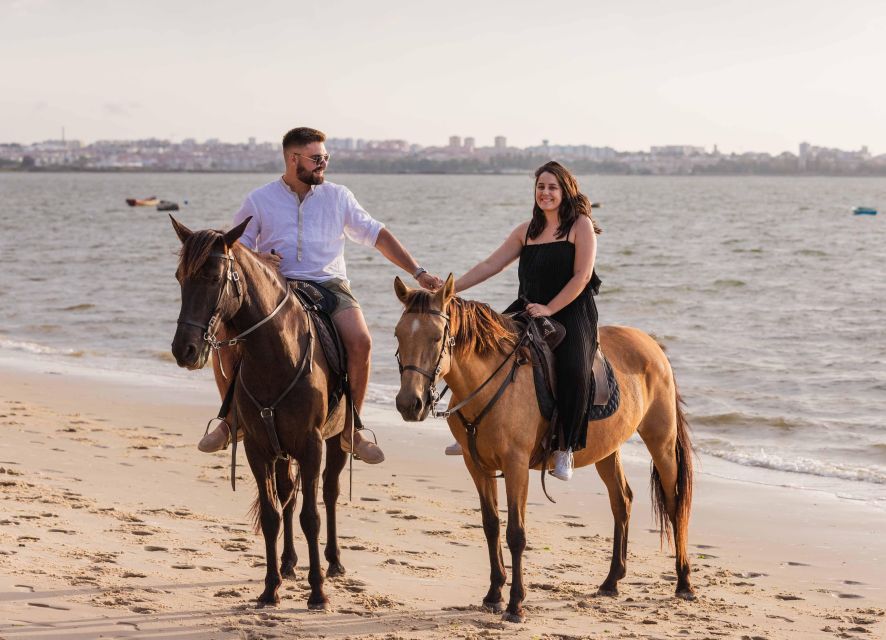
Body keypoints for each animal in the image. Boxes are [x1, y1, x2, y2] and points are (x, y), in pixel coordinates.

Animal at [168, 219, 348, 608]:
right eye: (179, 277)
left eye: (214, 277)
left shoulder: (311, 445)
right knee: (287, 496)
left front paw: (317, 592)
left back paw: (334, 563)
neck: (278, 355)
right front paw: (270, 587)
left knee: (329, 492)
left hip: (338, 439)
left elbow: (312, 516)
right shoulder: (257, 447)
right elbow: (271, 515)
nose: (183, 349)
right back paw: (289, 563)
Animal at [394, 274, 692, 620]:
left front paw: (515, 603)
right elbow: (491, 525)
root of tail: (652, 345)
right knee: (622, 501)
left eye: (435, 337)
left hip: (662, 441)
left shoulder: (516, 465)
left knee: (674, 504)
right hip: (608, 450)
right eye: (398, 334)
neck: (490, 382)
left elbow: (516, 534)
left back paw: (684, 583)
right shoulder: (477, 464)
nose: (409, 404)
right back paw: (611, 581)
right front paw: (494, 593)